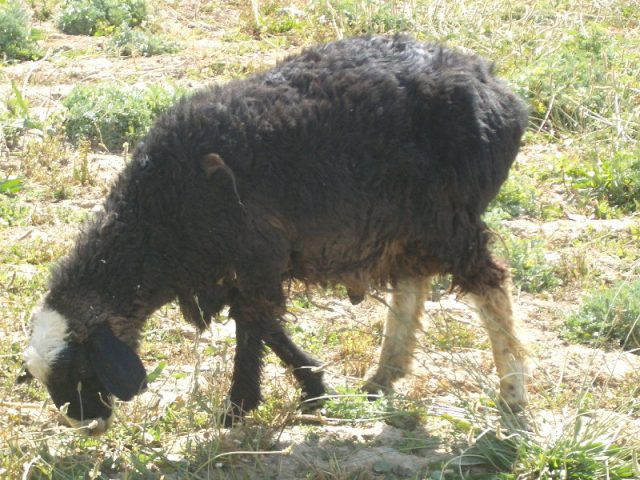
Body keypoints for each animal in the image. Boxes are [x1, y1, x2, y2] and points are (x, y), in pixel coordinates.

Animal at [20, 35, 528, 436]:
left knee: (490, 283)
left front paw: (236, 409)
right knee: (413, 283)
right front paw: (313, 387)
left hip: (446, 216)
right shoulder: (234, 269)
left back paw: (512, 399)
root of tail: (499, 93)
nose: (86, 424)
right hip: (409, 224)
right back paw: (383, 377)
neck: (158, 221)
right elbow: (264, 325)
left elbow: (253, 327)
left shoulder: (254, 254)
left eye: (81, 367)